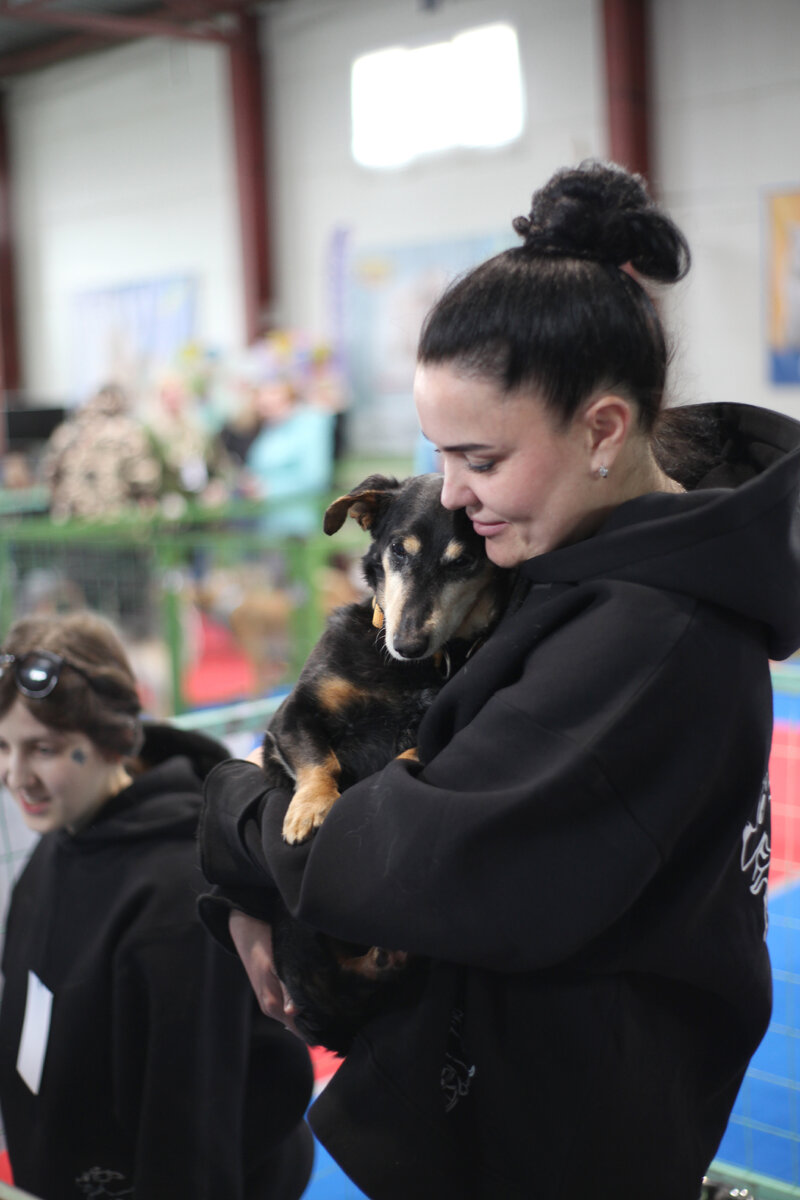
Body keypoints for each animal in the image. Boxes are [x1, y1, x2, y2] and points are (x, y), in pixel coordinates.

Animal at [266, 472, 510, 1056]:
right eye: (399, 550)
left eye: (466, 562)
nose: (406, 642)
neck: (410, 674)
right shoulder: (291, 715)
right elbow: (320, 760)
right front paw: (310, 810)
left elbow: (409, 752)